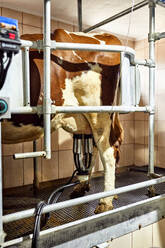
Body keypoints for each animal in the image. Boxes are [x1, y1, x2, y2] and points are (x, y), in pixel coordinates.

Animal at [1, 29, 124, 213]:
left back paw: (105, 201)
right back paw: (83, 187)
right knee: (97, 148)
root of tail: (105, 34)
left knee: (108, 153)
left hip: (98, 113)